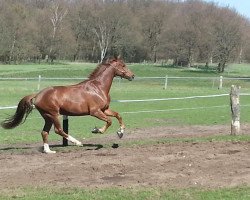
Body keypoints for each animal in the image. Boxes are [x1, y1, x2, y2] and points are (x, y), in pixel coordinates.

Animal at [0, 57, 135, 154]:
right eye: (123, 65)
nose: (132, 76)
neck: (97, 88)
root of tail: (37, 95)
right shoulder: (95, 111)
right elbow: (109, 121)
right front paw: (97, 130)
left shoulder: (105, 109)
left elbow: (118, 115)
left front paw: (120, 132)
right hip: (54, 114)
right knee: (58, 130)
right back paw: (77, 142)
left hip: (47, 117)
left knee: (45, 132)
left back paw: (49, 151)